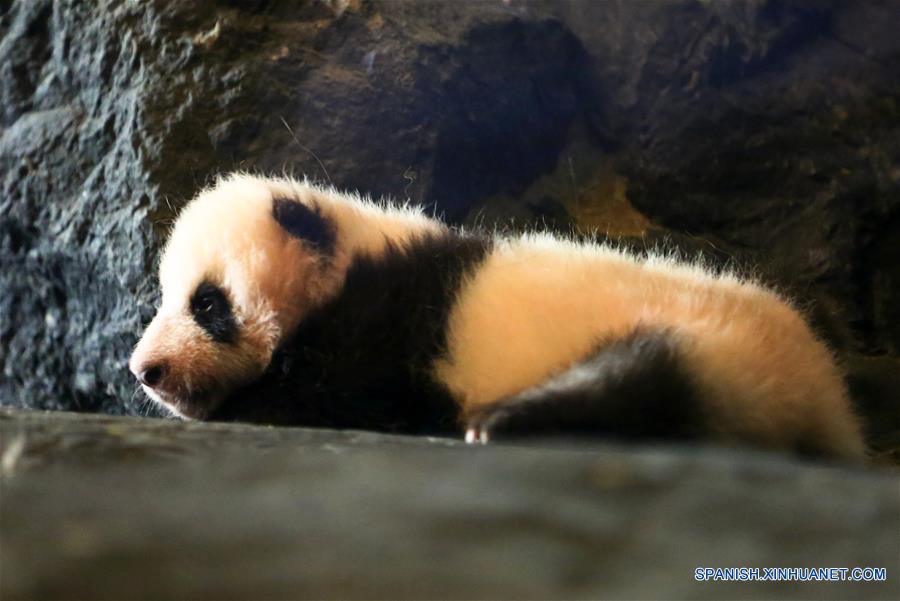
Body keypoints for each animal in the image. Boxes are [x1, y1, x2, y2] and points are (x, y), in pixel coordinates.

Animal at [129, 173, 866, 459]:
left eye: (207, 303)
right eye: (165, 296)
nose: (146, 370)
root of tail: (829, 402)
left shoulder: (389, 319)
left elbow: (333, 393)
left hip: (722, 346)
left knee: (644, 379)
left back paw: (510, 418)